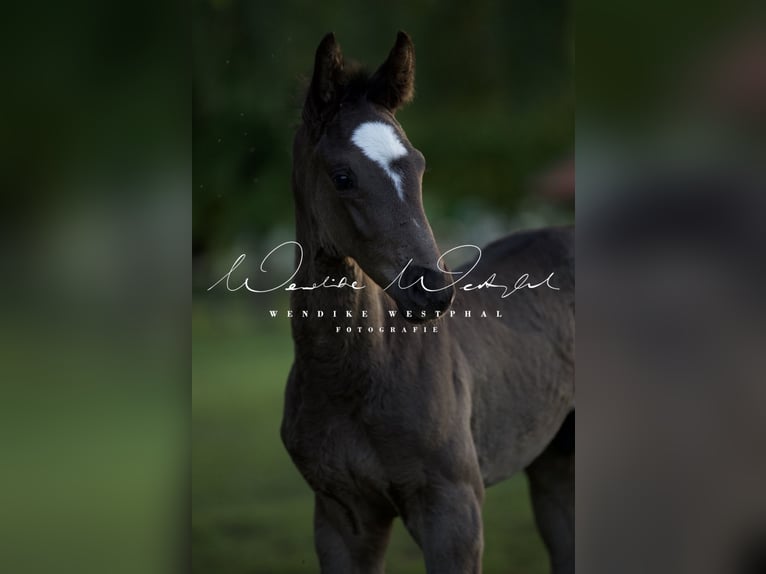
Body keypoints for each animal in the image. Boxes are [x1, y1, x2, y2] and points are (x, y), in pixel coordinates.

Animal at [280, 31, 574, 574]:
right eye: (342, 176)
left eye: (417, 165)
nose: (431, 289)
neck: (356, 379)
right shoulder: (340, 517)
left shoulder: (454, 513)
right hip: (554, 459)